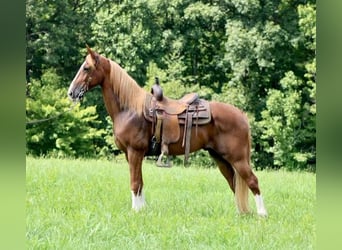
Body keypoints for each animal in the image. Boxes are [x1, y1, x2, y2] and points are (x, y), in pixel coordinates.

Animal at [67, 46, 268, 217]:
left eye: (86, 68)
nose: (71, 93)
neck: (129, 109)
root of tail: (241, 116)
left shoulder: (134, 152)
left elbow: (135, 182)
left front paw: (135, 211)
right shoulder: (131, 155)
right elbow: (140, 183)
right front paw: (142, 209)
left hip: (238, 158)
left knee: (252, 181)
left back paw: (262, 214)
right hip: (221, 159)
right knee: (234, 182)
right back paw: (241, 213)